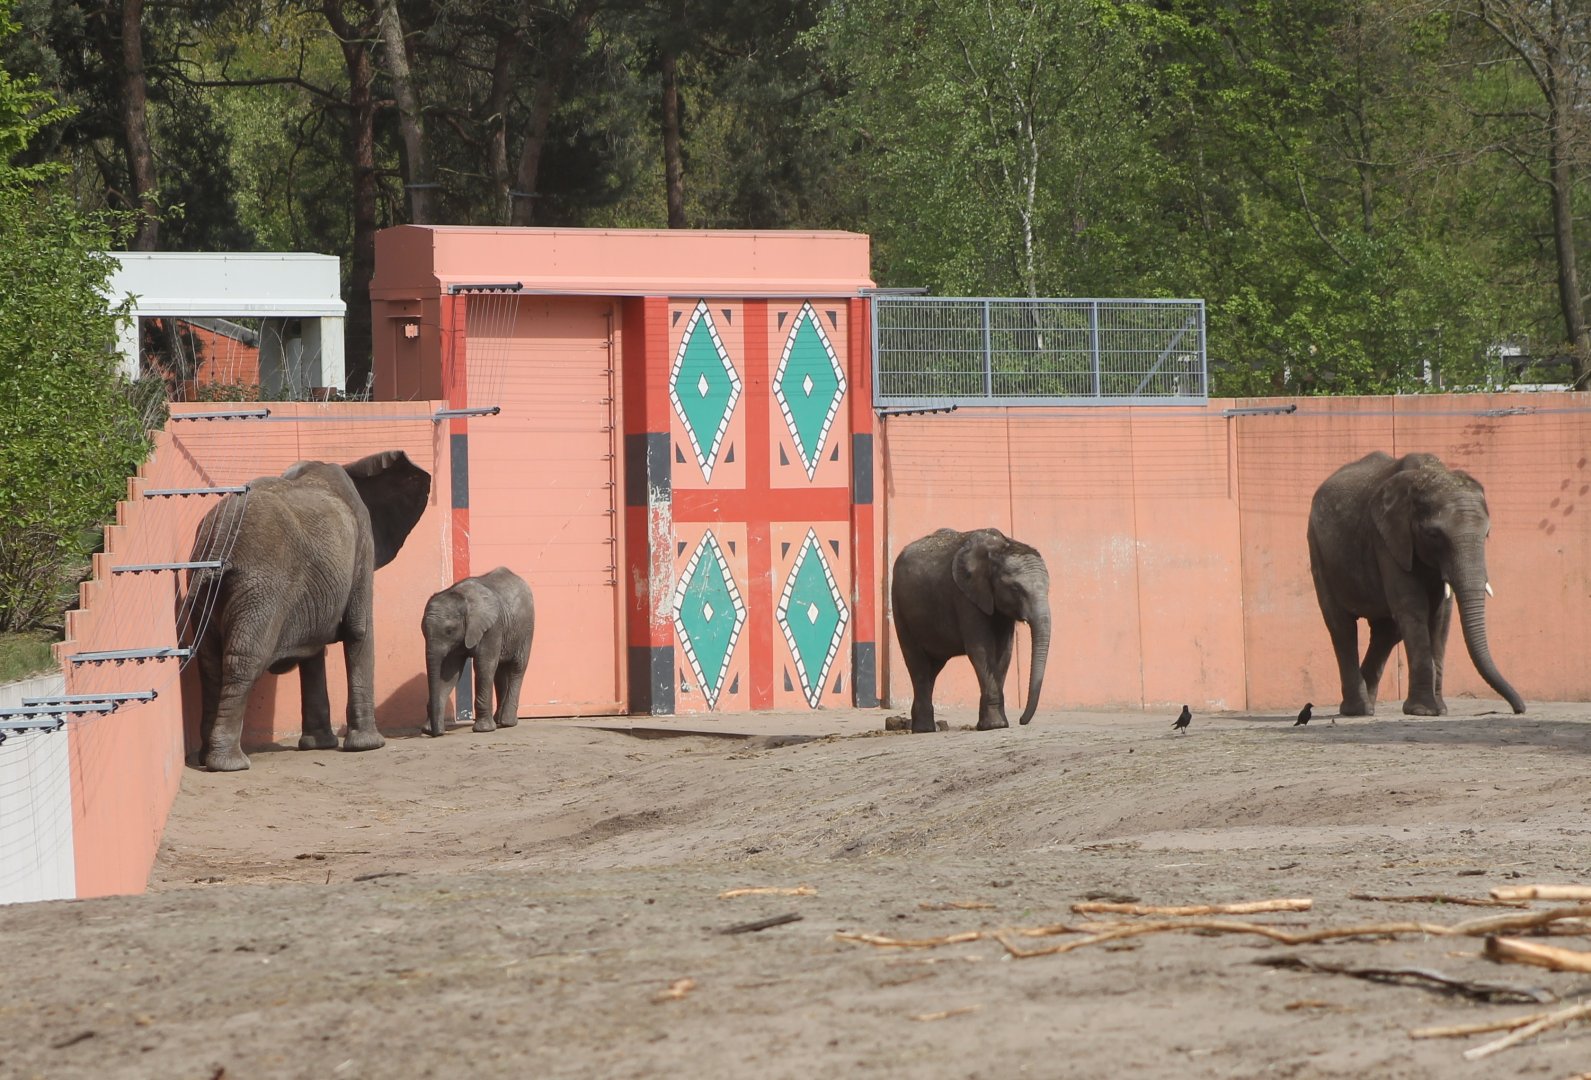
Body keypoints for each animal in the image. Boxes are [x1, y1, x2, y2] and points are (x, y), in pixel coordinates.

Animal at [184, 450, 431, 771]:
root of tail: (219, 537)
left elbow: (312, 651)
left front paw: (319, 744)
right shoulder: (362, 545)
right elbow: (359, 630)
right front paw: (368, 746)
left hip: (203, 589)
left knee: (210, 664)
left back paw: (208, 757)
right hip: (262, 588)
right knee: (244, 659)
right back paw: (230, 763)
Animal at [421, 567, 535, 737]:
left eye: (449, 631)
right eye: (423, 631)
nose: (437, 733)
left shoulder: (492, 627)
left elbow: (484, 666)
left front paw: (484, 729)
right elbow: (449, 673)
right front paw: (429, 730)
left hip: (526, 628)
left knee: (517, 667)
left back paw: (507, 722)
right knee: (500, 671)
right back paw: (499, 720)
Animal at [890, 528, 1052, 733]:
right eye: (1015, 588)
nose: (1022, 720)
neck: (999, 548)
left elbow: (1004, 653)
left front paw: (989, 725)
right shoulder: (965, 597)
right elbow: (981, 649)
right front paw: (996, 726)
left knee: (932, 668)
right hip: (900, 607)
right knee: (917, 663)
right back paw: (924, 729)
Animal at [1307, 451, 1524, 717]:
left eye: (1487, 534)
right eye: (1434, 534)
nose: (1518, 709)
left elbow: (1441, 617)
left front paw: (1440, 710)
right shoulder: (1388, 538)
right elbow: (1413, 608)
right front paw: (1424, 711)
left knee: (1387, 631)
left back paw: (1367, 703)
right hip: (1318, 550)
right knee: (1342, 626)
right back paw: (1358, 710)